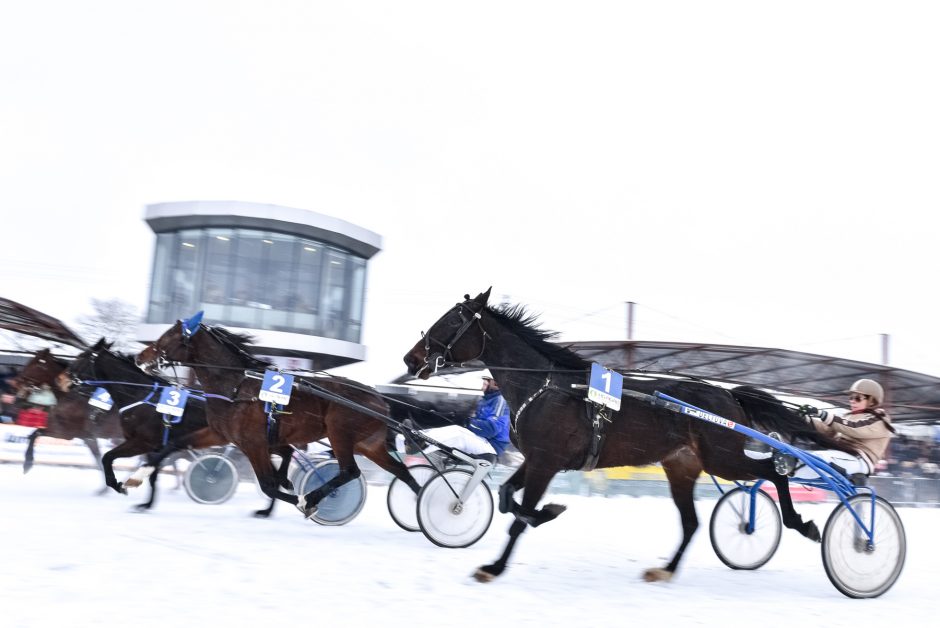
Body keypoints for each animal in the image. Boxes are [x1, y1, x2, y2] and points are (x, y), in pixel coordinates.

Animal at [136, 314, 422, 516]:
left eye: (167, 338)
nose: (140, 357)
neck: (236, 385)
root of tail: (380, 400)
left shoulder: (253, 443)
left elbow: (268, 484)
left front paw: (300, 500)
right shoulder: (221, 434)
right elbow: (173, 444)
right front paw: (136, 478)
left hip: (339, 432)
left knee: (349, 471)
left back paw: (312, 498)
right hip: (368, 445)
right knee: (401, 471)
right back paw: (421, 501)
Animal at [400, 290, 848, 584]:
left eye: (452, 321)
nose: (410, 358)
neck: (547, 387)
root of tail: (727, 395)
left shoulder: (546, 462)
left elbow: (519, 515)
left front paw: (496, 564)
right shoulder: (536, 460)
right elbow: (509, 497)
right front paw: (544, 513)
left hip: (721, 457)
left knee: (774, 472)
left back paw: (800, 522)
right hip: (682, 467)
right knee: (691, 522)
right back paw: (665, 569)